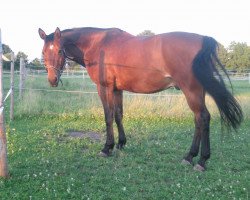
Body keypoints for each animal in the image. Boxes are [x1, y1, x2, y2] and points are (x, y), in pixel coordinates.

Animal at [37, 26, 242, 171]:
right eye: (43, 52)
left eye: (60, 51)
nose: (52, 80)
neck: (97, 44)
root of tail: (202, 40)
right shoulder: (117, 89)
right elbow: (118, 115)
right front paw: (121, 144)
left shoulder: (104, 88)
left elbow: (108, 116)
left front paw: (107, 148)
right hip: (196, 92)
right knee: (198, 119)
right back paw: (189, 157)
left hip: (191, 90)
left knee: (203, 118)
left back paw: (201, 161)